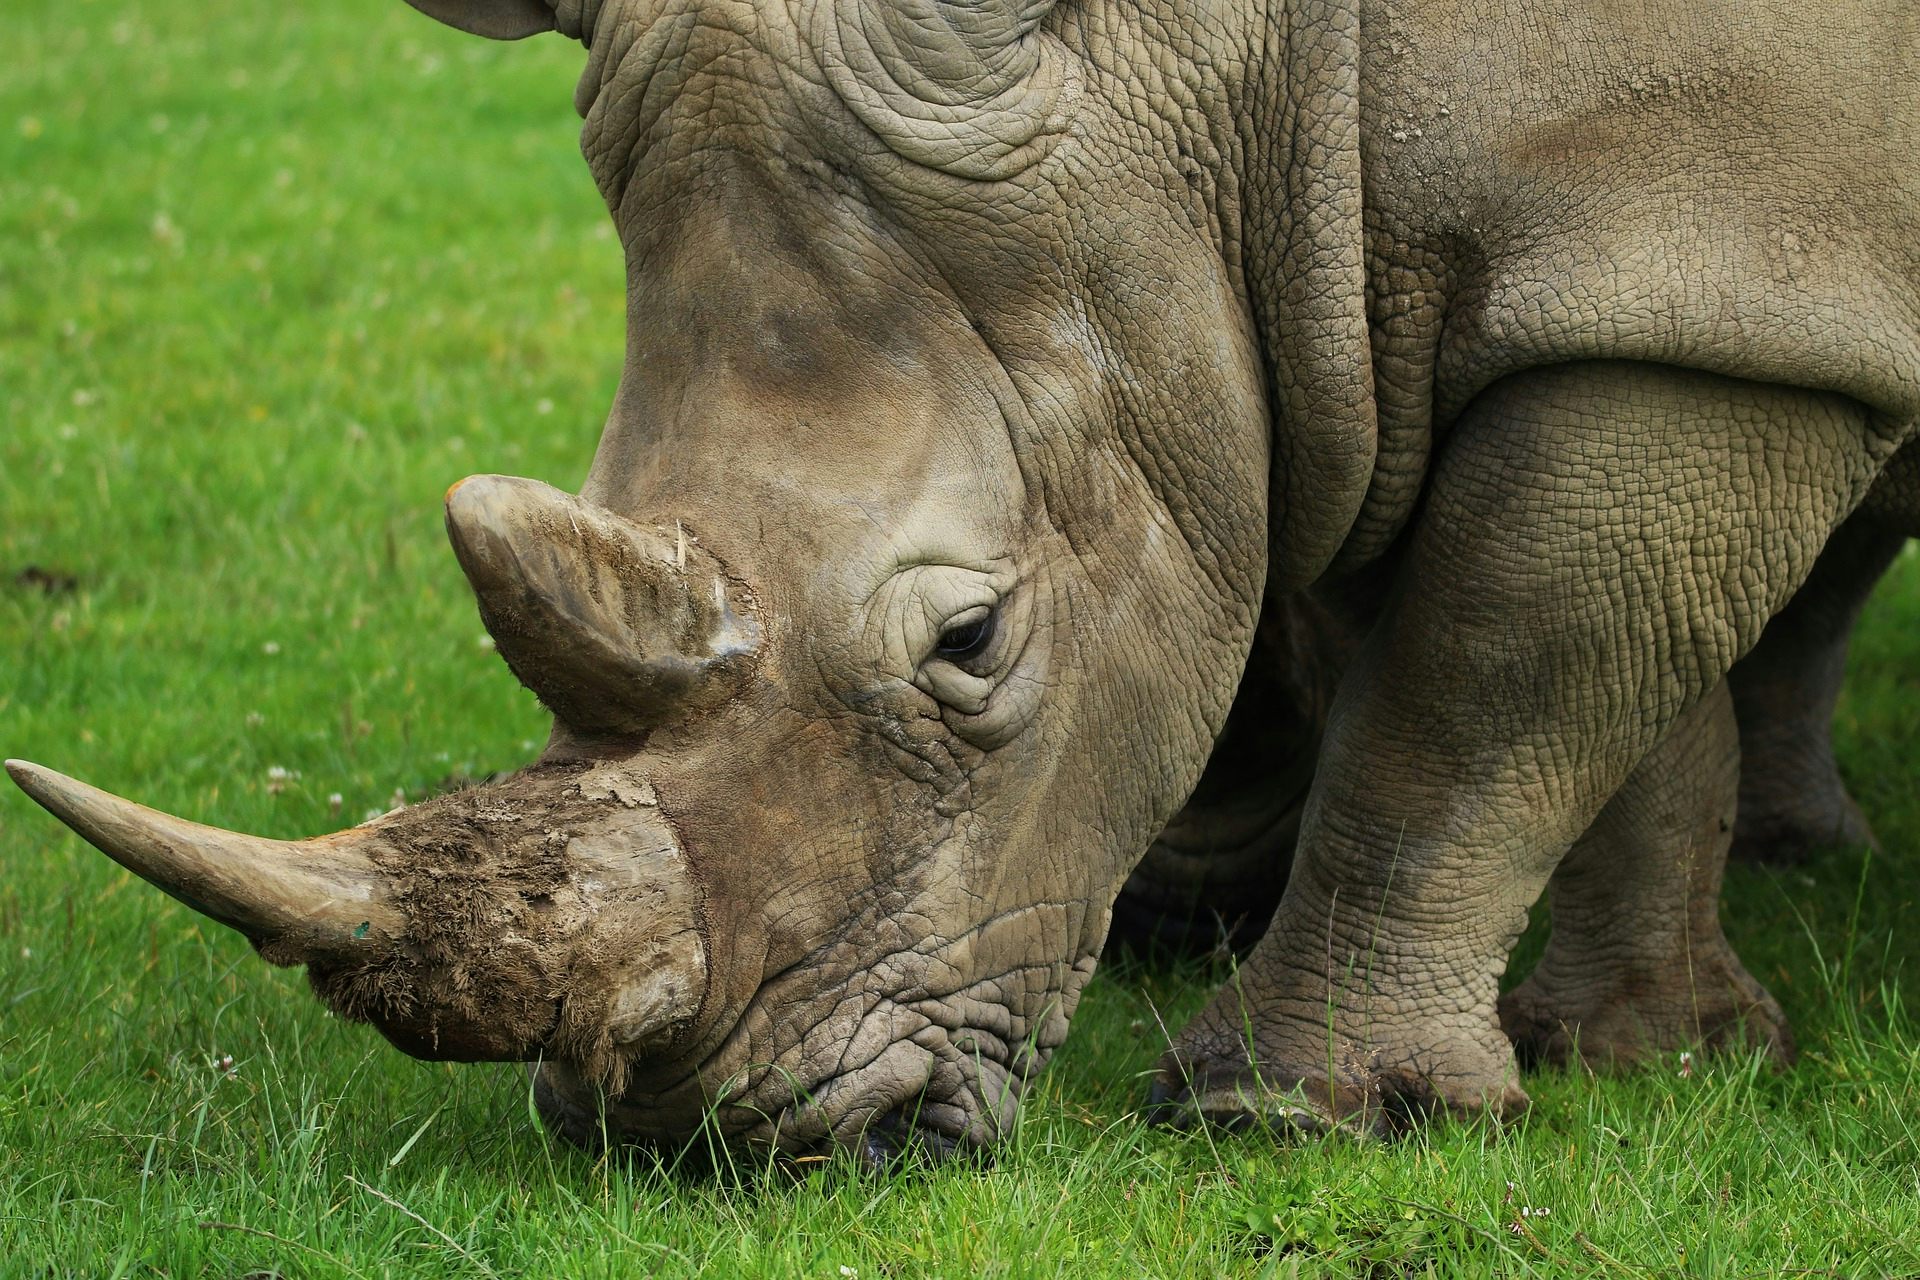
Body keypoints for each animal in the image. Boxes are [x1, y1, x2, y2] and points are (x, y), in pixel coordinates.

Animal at [11, 0, 1920, 1156]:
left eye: (975, 638)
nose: (709, 1143)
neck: (1249, 61)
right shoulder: (1425, 306)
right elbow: (1596, 670)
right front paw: (1660, 1058)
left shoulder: (1677, 260)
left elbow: (1486, 690)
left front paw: (1299, 1115)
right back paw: (1800, 859)